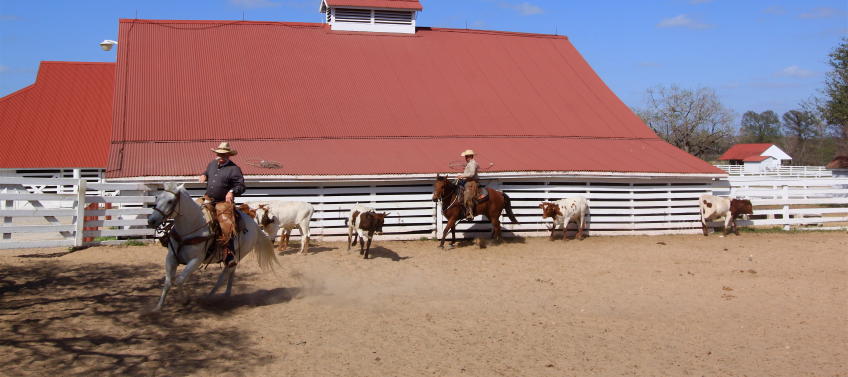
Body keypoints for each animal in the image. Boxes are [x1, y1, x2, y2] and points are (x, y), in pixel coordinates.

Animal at [147, 181, 276, 308]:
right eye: (158, 197)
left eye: (170, 201)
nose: (151, 221)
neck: (191, 227)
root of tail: (253, 225)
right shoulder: (171, 257)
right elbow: (168, 282)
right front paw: (158, 307)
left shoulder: (196, 260)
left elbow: (179, 280)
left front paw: (184, 300)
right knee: (230, 272)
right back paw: (222, 294)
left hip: (239, 254)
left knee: (225, 274)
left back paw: (213, 295)